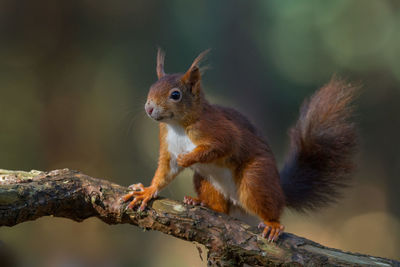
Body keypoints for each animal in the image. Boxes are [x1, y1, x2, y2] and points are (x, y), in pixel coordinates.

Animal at [121, 48, 356, 243]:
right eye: (151, 88)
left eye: (175, 95)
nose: (149, 108)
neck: (177, 125)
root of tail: (280, 190)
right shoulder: (167, 144)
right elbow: (165, 171)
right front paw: (146, 191)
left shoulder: (218, 130)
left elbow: (222, 146)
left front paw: (187, 158)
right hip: (205, 179)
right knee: (221, 208)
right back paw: (201, 203)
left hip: (256, 179)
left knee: (269, 207)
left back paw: (272, 224)